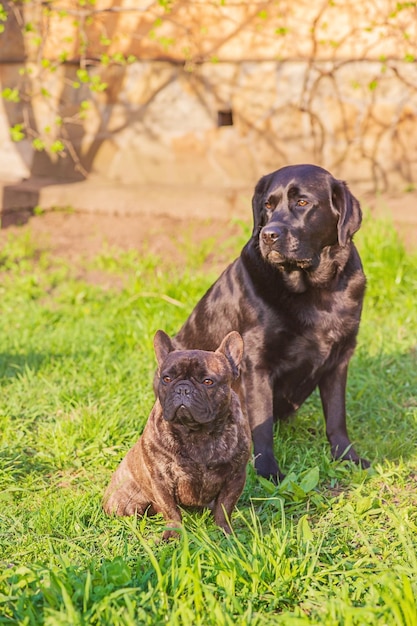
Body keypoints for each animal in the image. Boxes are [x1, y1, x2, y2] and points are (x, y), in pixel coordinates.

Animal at [103, 330, 250, 540]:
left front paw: (224, 532)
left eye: (208, 381)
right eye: (166, 379)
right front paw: (173, 535)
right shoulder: (161, 480)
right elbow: (171, 510)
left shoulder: (235, 477)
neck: (196, 432)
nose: (183, 388)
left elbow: (224, 508)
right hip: (128, 506)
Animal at [169, 161, 368, 478]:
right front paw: (267, 472)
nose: (268, 235)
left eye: (302, 203)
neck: (313, 289)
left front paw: (348, 458)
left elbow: (337, 416)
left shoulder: (340, 358)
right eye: (268, 205)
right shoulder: (256, 364)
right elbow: (261, 426)